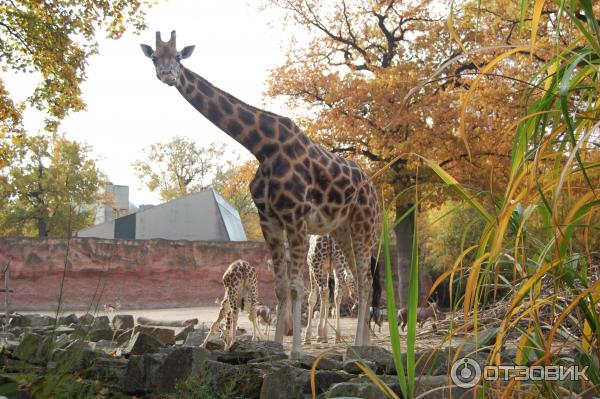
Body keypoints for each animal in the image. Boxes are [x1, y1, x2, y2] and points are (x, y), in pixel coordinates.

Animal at [142, 29, 380, 358]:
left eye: (178, 56)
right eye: (154, 57)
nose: (167, 75)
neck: (262, 146)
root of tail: (373, 189)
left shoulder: (295, 218)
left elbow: (297, 288)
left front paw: (296, 351)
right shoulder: (269, 219)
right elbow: (280, 287)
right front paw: (277, 347)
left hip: (363, 226)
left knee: (365, 282)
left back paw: (357, 348)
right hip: (343, 230)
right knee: (359, 280)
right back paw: (365, 346)